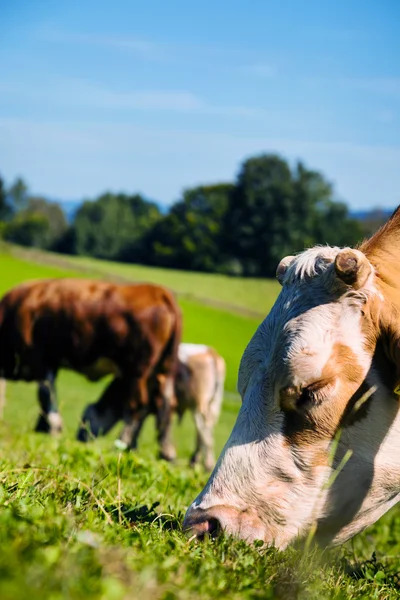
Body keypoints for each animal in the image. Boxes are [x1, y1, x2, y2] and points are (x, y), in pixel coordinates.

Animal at [0, 278, 181, 460]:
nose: (80, 437)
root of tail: (159, 292)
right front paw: (42, 428)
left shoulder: (38, 358)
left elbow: (46, 395)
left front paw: (52, 429)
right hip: (162, 369)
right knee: (165, 404)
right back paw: (163, 452)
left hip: (137, 371)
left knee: (137, 406)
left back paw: (122, 444)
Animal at [175, 344, 225, 472]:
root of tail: (211, 352)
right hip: (213, 402)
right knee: (206, 428)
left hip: (198, 404)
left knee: (203, 429)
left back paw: (206, 462)